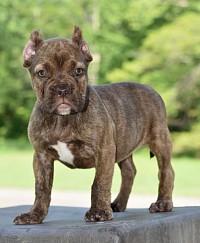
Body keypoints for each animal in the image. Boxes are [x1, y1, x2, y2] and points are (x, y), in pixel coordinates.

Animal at [13, 25, 173, 224]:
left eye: (78, 71)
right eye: (41, 73)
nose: (62, 89)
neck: (63, 119)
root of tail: (151, 89)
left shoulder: (104, 151)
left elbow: (99, 182)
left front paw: (99, 212)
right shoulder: (41, 156)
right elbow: (41, 188)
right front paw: (34, 214)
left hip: (160, 140)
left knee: (166, 171)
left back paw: (162, 203)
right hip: (124, 144)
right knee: (129, 171)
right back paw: (119, 203)